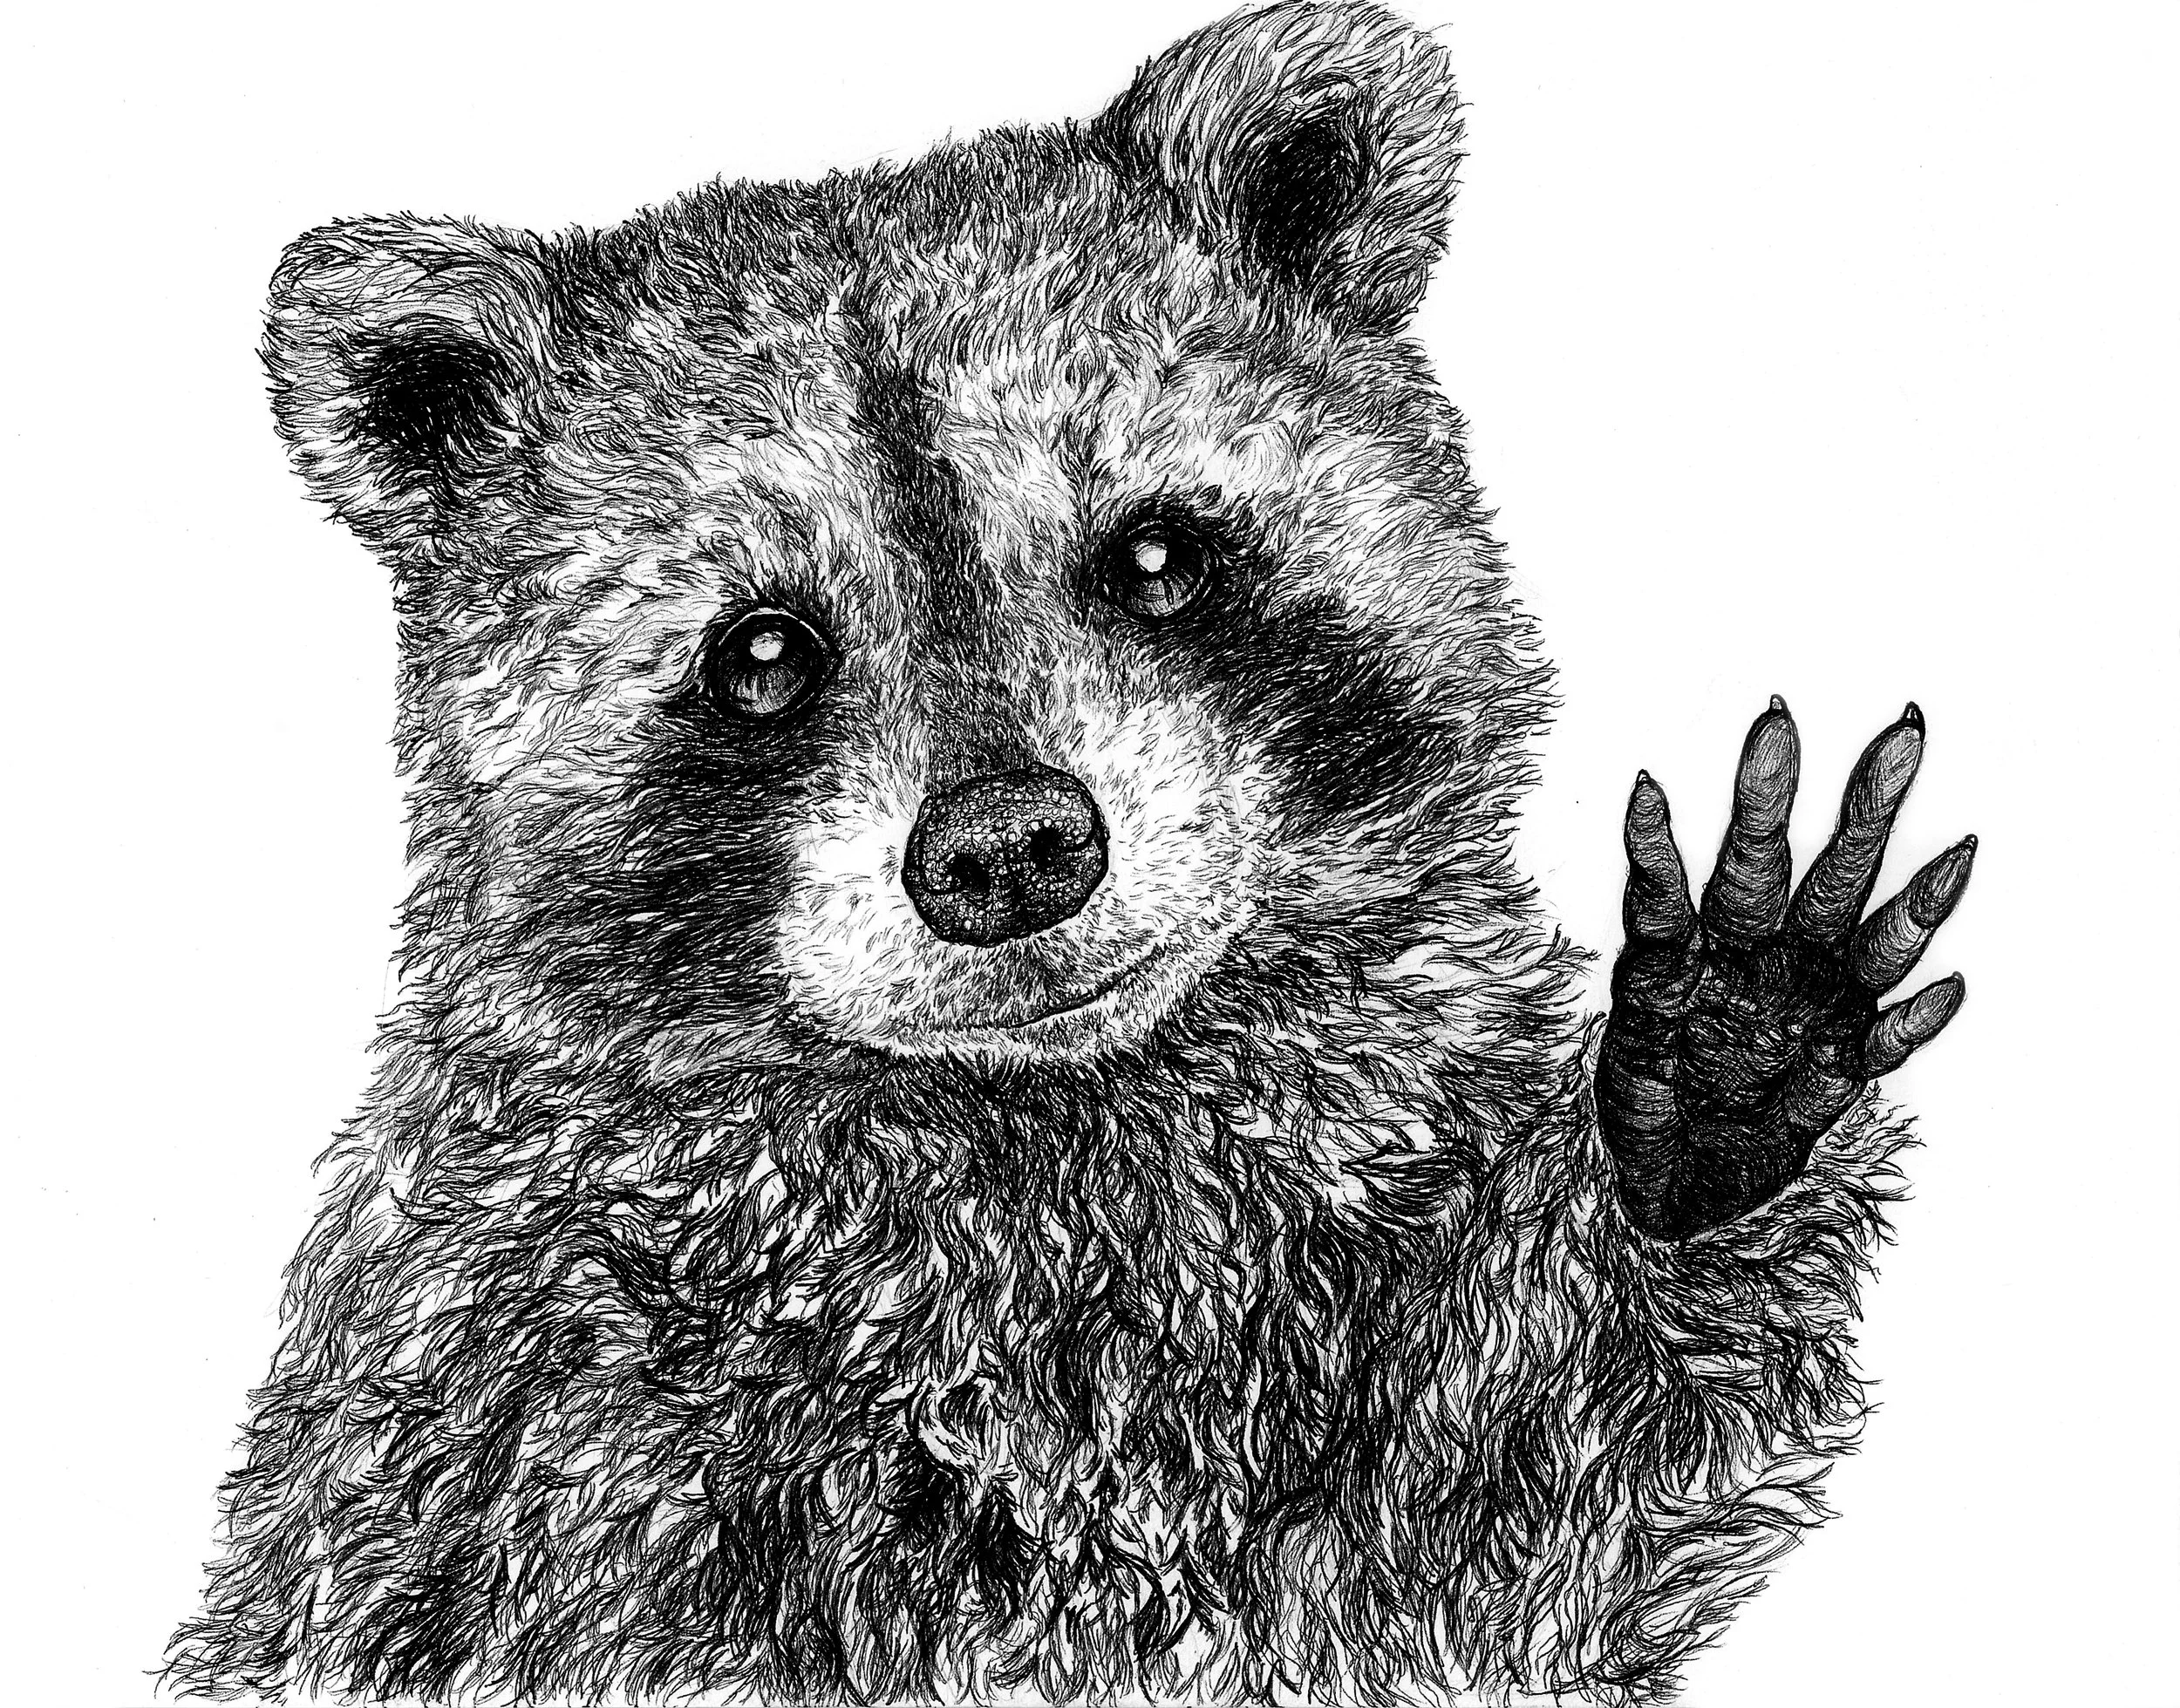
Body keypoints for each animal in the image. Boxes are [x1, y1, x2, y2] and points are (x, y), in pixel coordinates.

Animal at [168, 3, 1970, 1702]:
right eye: (762, 653)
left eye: (1156, 553)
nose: (1012, 849)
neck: (1052, 1124)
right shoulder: (539, 1405)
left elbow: (1522, 1506)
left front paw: (1710, 1101)